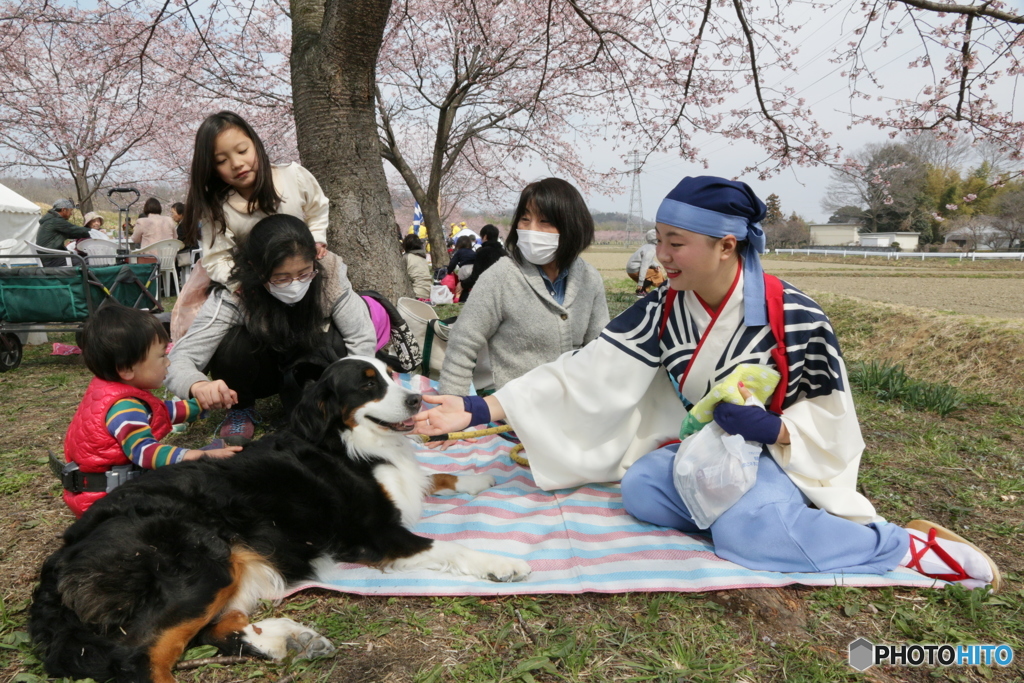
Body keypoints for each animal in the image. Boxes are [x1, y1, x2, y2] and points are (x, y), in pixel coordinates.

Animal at [29, 358, 528, 683]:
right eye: (368, 385)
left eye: (392, 375)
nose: (417, 399)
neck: (343, 441)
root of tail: (60, 561)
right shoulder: (376, 534)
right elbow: (448, 544)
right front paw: (501, 563)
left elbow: (433, 477)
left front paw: (476, 478)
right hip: (202, 561)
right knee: (140, 661)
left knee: (212, 628)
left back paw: (289, 641)